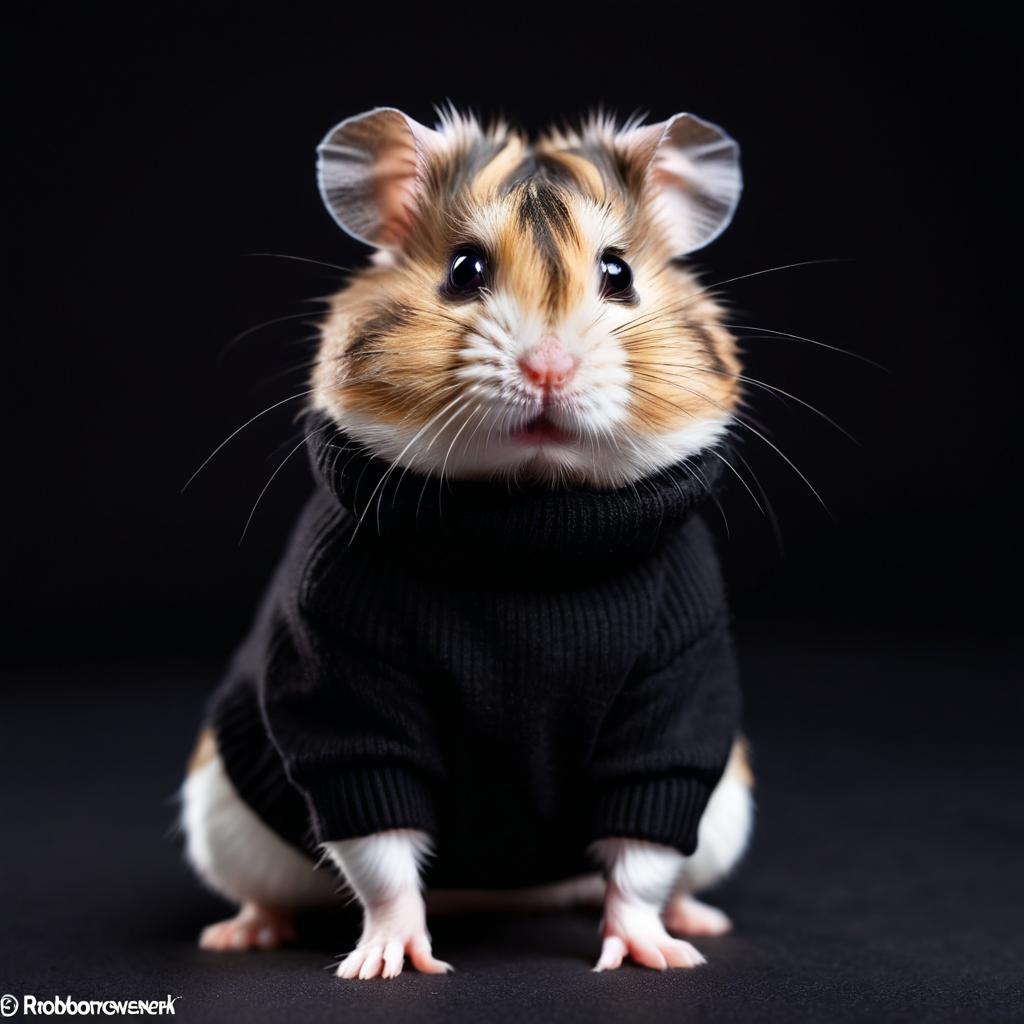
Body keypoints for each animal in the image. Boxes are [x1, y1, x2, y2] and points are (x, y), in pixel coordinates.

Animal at [182, 103, 753, 974]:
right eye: (463, 270)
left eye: (619, 273)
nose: (548, 369)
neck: (526, 521)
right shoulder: (343, 686)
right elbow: (380, 846)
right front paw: (387, 964)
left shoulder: (676, 694)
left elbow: (644, 846)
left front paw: (654, 957)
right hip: (221, 812)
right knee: (265, 889)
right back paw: (239, 934)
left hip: (726, 811)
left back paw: (701, 924)